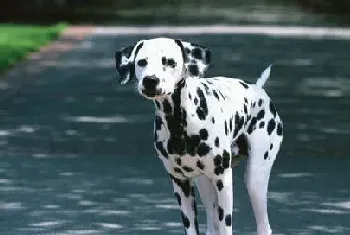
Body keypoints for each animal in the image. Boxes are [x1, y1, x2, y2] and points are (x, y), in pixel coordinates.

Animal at [113, 37, 284, 234]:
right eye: (142, 62)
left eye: (169, 62)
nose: (150, 81)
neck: (179, 122)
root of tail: (257, 89)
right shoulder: (181, 184)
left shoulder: (223, 181)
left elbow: (225, 226)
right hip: (205, 185)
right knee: (212, 223)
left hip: (255, 180)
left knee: (263, 226)